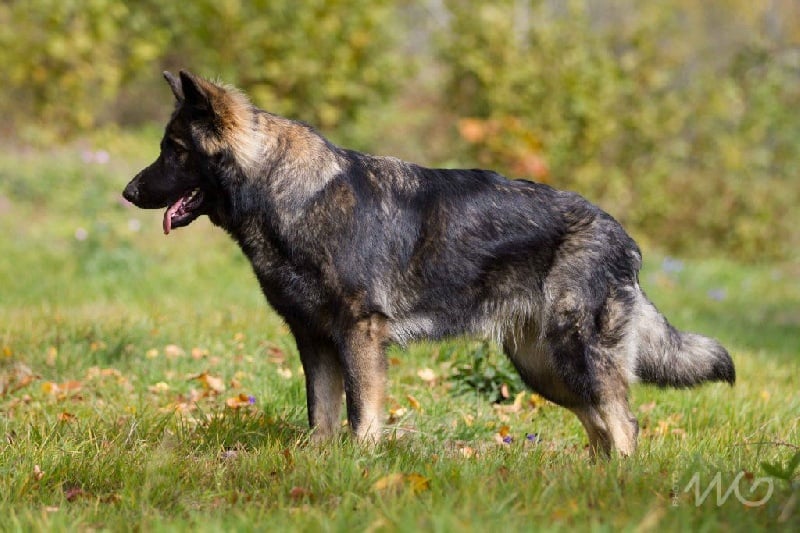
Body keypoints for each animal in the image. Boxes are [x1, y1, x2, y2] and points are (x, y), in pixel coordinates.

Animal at [122, 71, 734, 456]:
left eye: (174, 150)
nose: (128, 193)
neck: (287, 193)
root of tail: (622, 236)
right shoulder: (314, 340)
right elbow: (322, 413)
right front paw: (317, 463)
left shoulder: (359, 336)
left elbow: (361, 413)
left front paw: (360, 464)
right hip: (545, 367)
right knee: (602, 425)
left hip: (574, 354)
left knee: (624, 423)